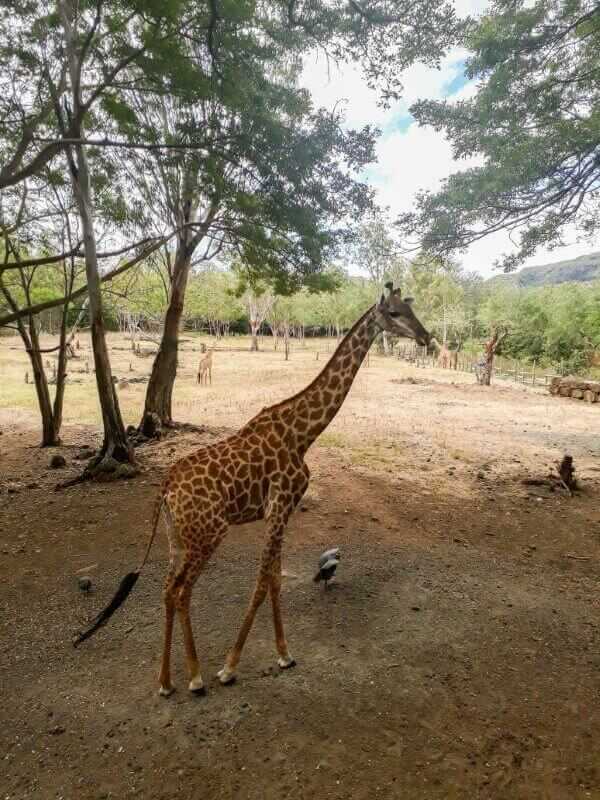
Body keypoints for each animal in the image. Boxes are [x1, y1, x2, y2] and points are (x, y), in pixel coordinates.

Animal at [74, 284, 432, 696]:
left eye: (410, 308)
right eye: (393, 313)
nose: (426, 337)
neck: (304, 434)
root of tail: (165, 486)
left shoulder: (280, 512)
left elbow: (275, 578)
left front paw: (285, 654)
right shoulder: (280, 506)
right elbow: (262, 582)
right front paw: (229, 668)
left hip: (176, 537)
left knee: (167, 589)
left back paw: (165, 681)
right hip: (209, 533)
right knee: (182, 592)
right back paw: (195, 677)